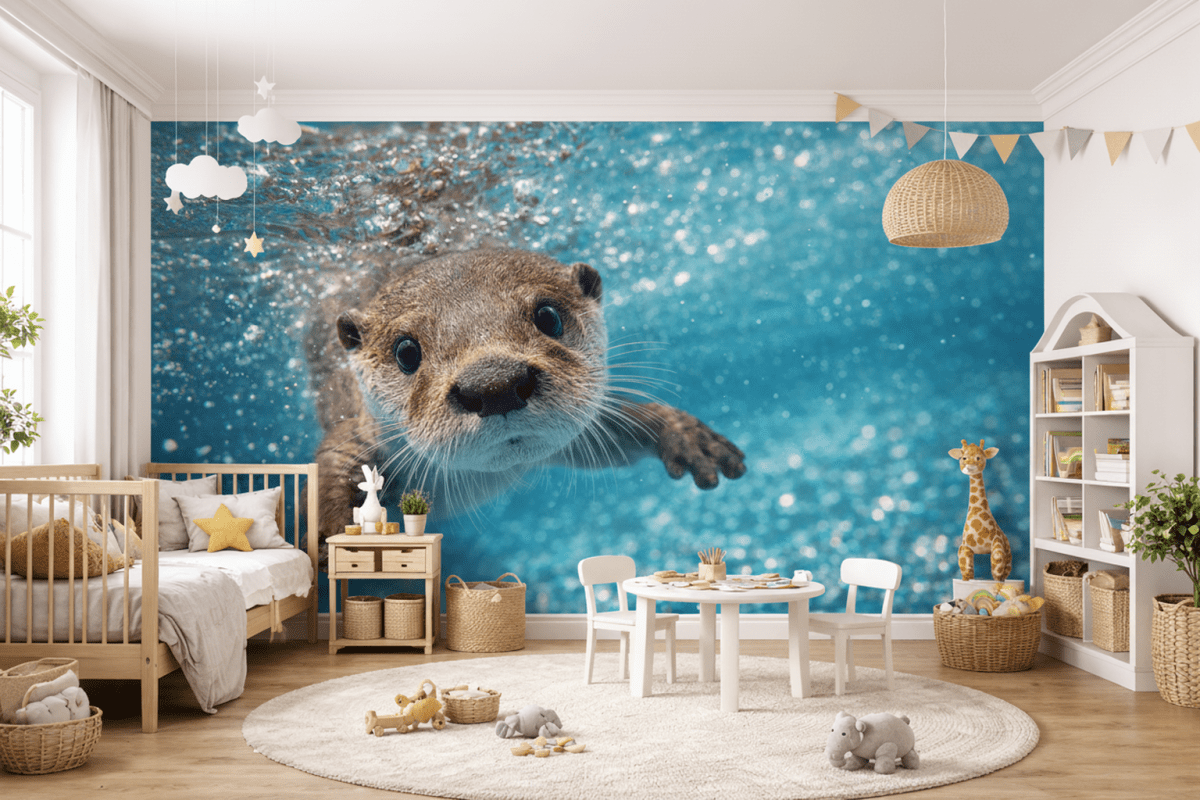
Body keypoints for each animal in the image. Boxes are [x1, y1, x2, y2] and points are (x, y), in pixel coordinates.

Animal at [311, 248, 745, 541]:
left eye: (548, 316)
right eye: (406, 351)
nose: (495, 385)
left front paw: (686, 436)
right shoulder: (358, 431)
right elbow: (331, 464)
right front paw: (331, 531)